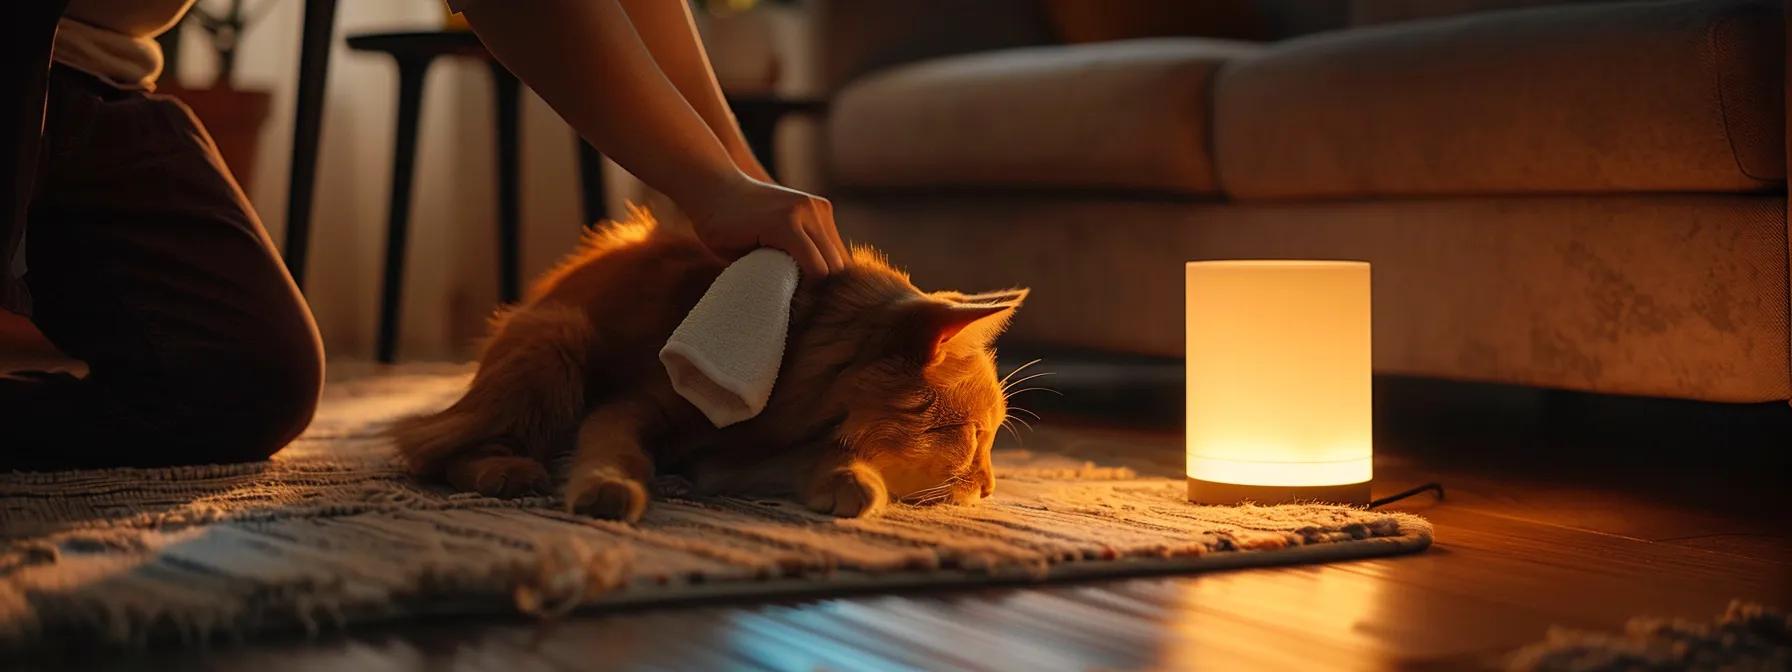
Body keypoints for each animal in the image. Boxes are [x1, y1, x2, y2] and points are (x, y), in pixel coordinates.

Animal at [388, 207, 1039, 523]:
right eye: (972, 437)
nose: (989, 485)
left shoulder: (730, 461)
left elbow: (820, 458)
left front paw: (849, 479)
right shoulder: (630, 409)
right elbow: (617, 453)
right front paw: (608, 488)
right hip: (556, 342)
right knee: (430, 448)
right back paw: (509, 472)